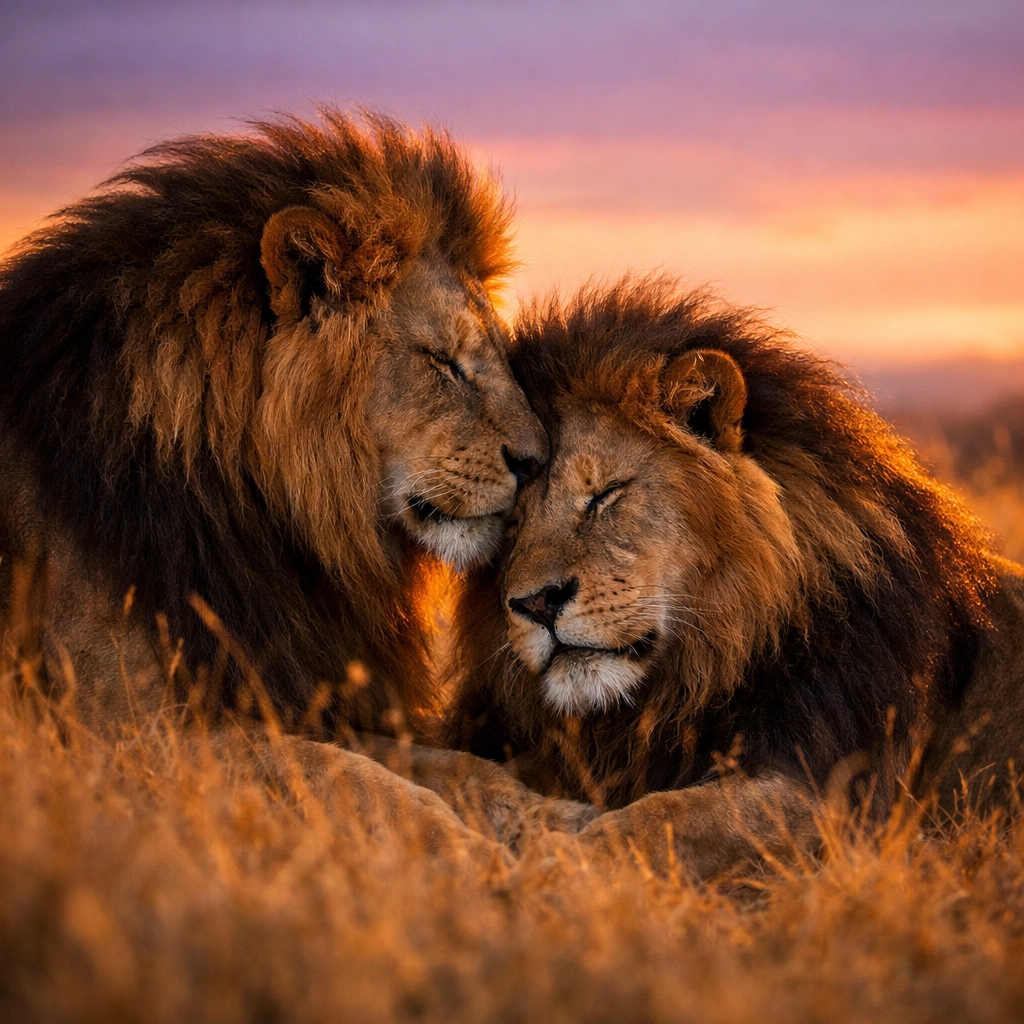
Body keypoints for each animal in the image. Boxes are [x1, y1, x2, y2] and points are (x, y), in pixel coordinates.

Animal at [434, 278, 1024, 878]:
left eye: (605, 495)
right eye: (509, 521)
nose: (538, 604)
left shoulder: (838, 801)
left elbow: (665, 818)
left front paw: (550, 865)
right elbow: (463, 767)